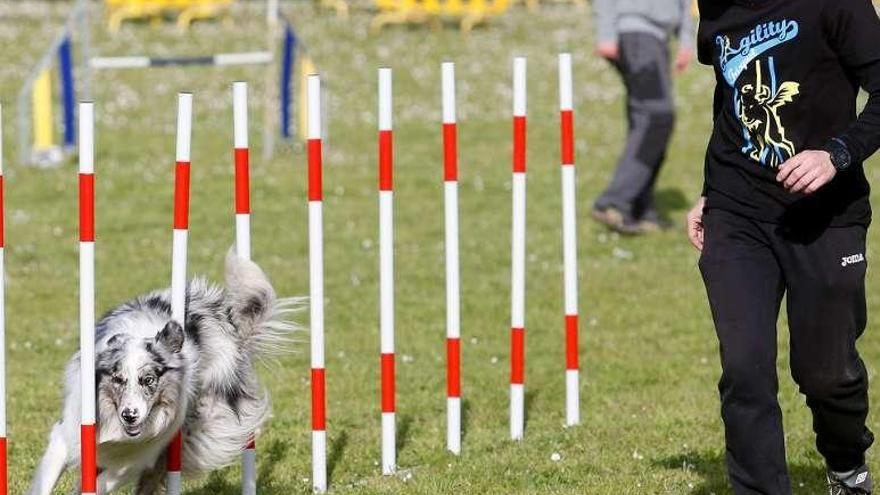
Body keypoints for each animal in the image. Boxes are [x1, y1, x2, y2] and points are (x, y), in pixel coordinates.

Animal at [28, 252, 302, 495]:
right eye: (117, 379)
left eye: (149, 380)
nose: (129, 415)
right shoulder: (67, 434)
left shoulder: (142, 455)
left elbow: (103, 481)